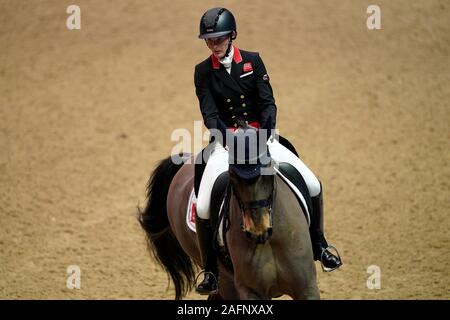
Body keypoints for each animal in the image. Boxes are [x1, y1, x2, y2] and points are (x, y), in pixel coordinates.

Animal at [139, 127, 318, 300]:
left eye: (268, 172)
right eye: (233, 178)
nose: (258, 230)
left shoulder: (307, 288)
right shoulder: (250, 292)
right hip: (224, 281)